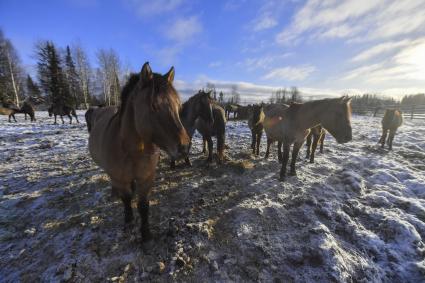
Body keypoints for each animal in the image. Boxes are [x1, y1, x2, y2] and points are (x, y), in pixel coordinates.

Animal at [86, 63, 189, 243]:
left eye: (179, 106)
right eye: (154, 106)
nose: (184, 147)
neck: (132, 151)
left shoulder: (146, 178)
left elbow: (143, 205)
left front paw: (146, 234)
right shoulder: (120, 179)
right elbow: (126, 200)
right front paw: (128, 222)